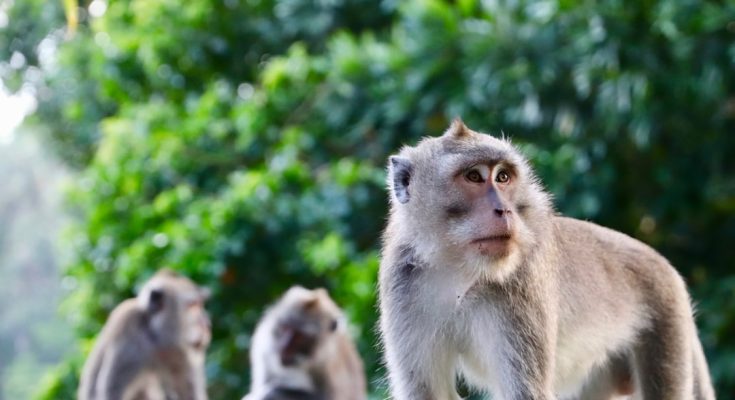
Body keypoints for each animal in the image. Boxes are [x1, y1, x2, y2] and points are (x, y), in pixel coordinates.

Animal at [79, 268, 211, 400]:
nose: (207, 324)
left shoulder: (180, 354)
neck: (155, 337)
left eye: (200, 304)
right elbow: (111, 391)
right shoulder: (129, 332)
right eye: (193, 306)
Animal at [380, 119, 712, 400]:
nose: (504, 210)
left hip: (666, 321)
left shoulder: (521, 283)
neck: (459, 270)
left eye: (503, 177)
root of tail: (664, 265)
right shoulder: (401, 284)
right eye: (473, 176)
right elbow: (424, 392)